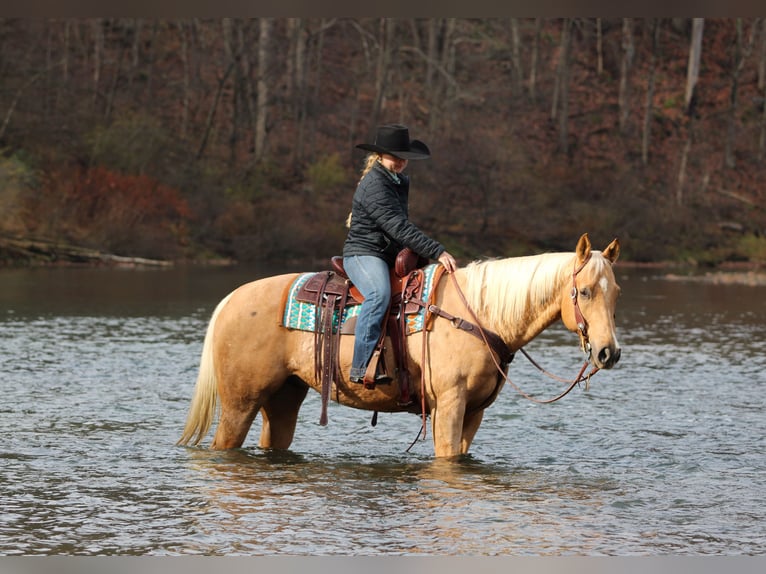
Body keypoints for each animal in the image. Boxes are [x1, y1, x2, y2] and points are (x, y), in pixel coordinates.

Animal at [178, 233, 621, 458]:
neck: (478, 314)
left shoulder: (475, 412)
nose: (608, 352)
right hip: (240, 403)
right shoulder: (449, 405)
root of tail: (231, 300)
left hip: (283, 398)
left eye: (615, 291)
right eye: (583, 291)